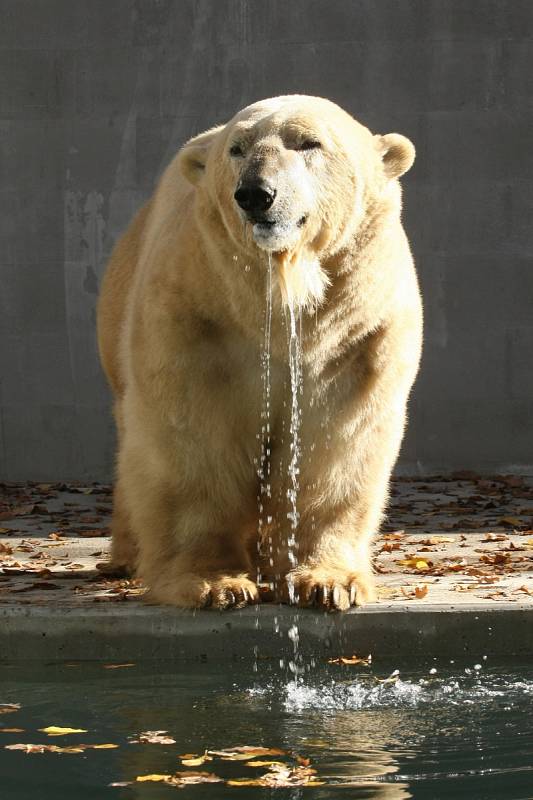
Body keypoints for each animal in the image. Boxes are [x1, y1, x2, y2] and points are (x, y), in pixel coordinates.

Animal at [94, 94, 420, 608]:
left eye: (308, 143)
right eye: (238, 148)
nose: (255, 193)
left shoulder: (353, 331)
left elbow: (335, 444)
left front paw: (327, 581)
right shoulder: (196, 315)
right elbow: (193, 440)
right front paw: (214, 583)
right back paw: (127, 557)